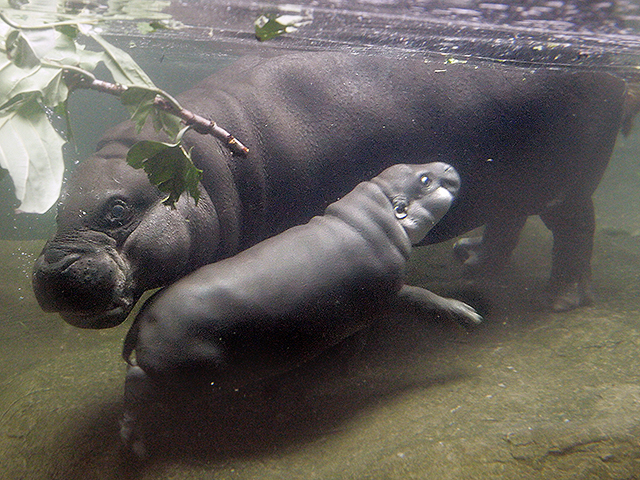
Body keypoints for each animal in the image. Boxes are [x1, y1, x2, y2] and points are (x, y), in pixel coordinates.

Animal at [32, 50, 628, 326]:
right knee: (509, 221)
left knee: (575, 226)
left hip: (568, 182)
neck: (215, 167)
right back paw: (472, 260)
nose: (52, 272)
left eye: (116, 210)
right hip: (514, 180)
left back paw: (562, 300)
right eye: (57, 208)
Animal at [119, 163, 480, 456]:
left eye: (409, 167)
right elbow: (422, 297)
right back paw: (134, 445)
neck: (374, 213)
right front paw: (467, 314)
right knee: (136, 381)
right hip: (189, 371)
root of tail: (145, 313)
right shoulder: (390, 292)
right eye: (425, 180)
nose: (448, 166)